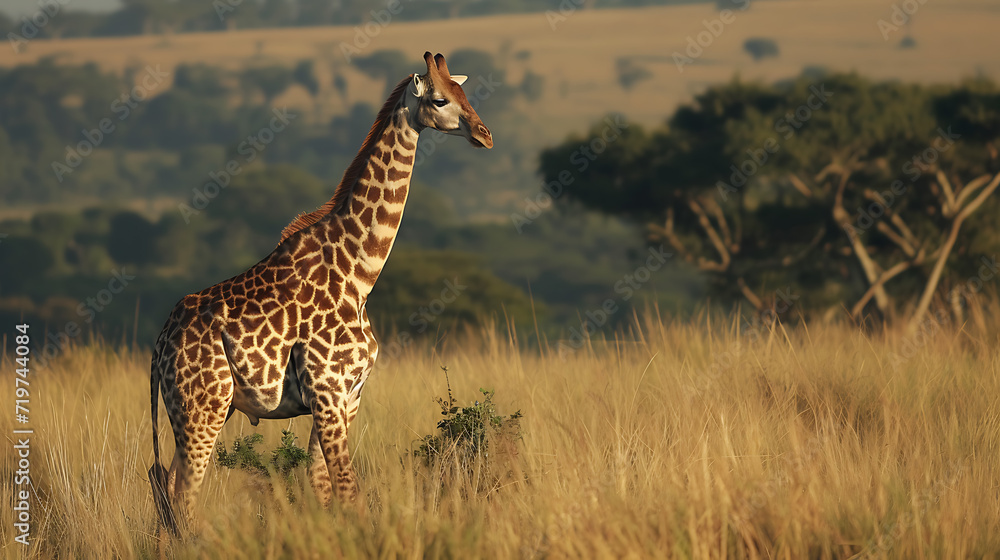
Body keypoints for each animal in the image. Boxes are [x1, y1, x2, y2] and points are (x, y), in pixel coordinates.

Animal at [148, 51, 492, 535]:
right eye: (441, 99)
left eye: (465, 93)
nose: (485, 134)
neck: (359, 273)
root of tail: (159, 345)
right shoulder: (327, 392)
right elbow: (349, 491)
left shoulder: (349, 396)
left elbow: (322, 485)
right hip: (202, 408)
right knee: (182, 498)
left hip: (199, 411)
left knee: (164, 488)